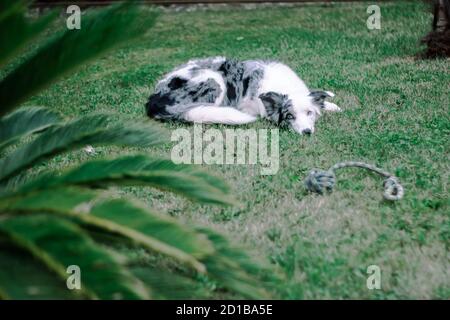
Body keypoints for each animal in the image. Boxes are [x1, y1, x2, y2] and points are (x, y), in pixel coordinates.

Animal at [146, 56, 340, 134]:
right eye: (289, 116)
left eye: (310, 113)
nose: (307, 132)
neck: (285, 88)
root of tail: (153, 99)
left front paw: (332, 105)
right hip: (215, 80)